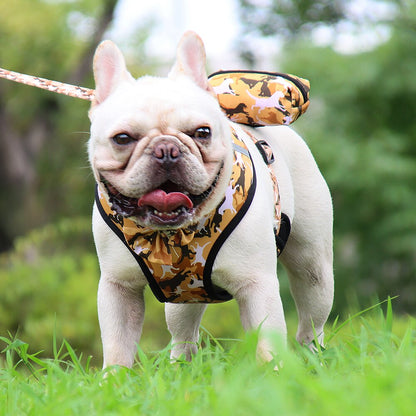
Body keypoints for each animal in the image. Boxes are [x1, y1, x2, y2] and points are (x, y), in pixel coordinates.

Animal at [88, 30, 334, 368]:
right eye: (122, 138)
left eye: (202, 132)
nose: (167, 149)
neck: (171, 236)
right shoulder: (118, 287)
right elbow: (117, 346)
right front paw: (113, 379)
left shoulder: (257, 285)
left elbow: (267, 342)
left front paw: (274, 374)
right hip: (182, 295)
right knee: (183, 332)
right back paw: (180, 366)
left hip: (313, 268)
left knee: (312, 318)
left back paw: (313, 357)